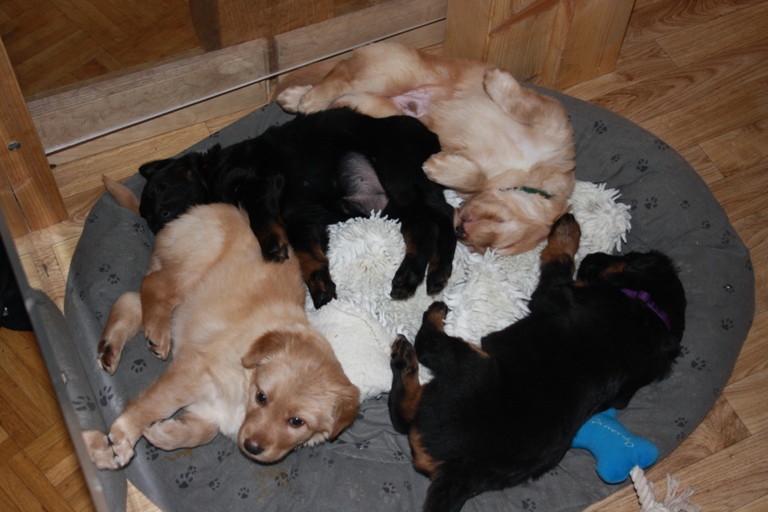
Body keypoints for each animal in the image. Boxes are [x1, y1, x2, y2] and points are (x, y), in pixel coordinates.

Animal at [84, 200, 359, 469]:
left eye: (297, 422)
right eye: (261, 397)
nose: (252, 447)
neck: (246, 381)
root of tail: (202, 209)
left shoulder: (209, 409)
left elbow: (203, 433)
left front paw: (163, 434)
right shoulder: (192, 371)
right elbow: (154, 404)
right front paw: (122, 436)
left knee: (130, 299)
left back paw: (109, 348)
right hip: (192, 266)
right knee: (153, 286)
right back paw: (157, 332)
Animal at [136, 107, 457, 309]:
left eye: (161, 186)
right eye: (148, 217)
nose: (159, 220)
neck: (212, 173)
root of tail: (434, 140)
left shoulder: (259, 180)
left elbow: (260, 219)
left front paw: (272, 247)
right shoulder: (301, 220)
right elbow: (308, 254)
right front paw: (321, 288)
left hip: (398, 173)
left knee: (441, 218)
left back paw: (424, 274)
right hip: (391, 206)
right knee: (429, 226)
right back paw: (424, 275)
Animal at [275, 42, 576, 256]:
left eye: (489, 250)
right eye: (499, 244)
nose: (460, 233)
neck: (522, 175)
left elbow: (475, 176)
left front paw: (440, 166)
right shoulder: (552, 120)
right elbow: (522, 104)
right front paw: (495, 79)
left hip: (380, 107)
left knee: (342, 94)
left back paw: (295, 97)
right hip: (394, 72)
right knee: (340, 75)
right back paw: (306, 99)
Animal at [388, 214, 686, 512]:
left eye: (626, 256)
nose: (592, 257)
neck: (652, 314)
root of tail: (458, 471)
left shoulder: (555, 293)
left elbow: (559, 259)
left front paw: (567, 229)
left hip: (471, 366)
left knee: (425, 353)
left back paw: (418, 339)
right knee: (403, 418)